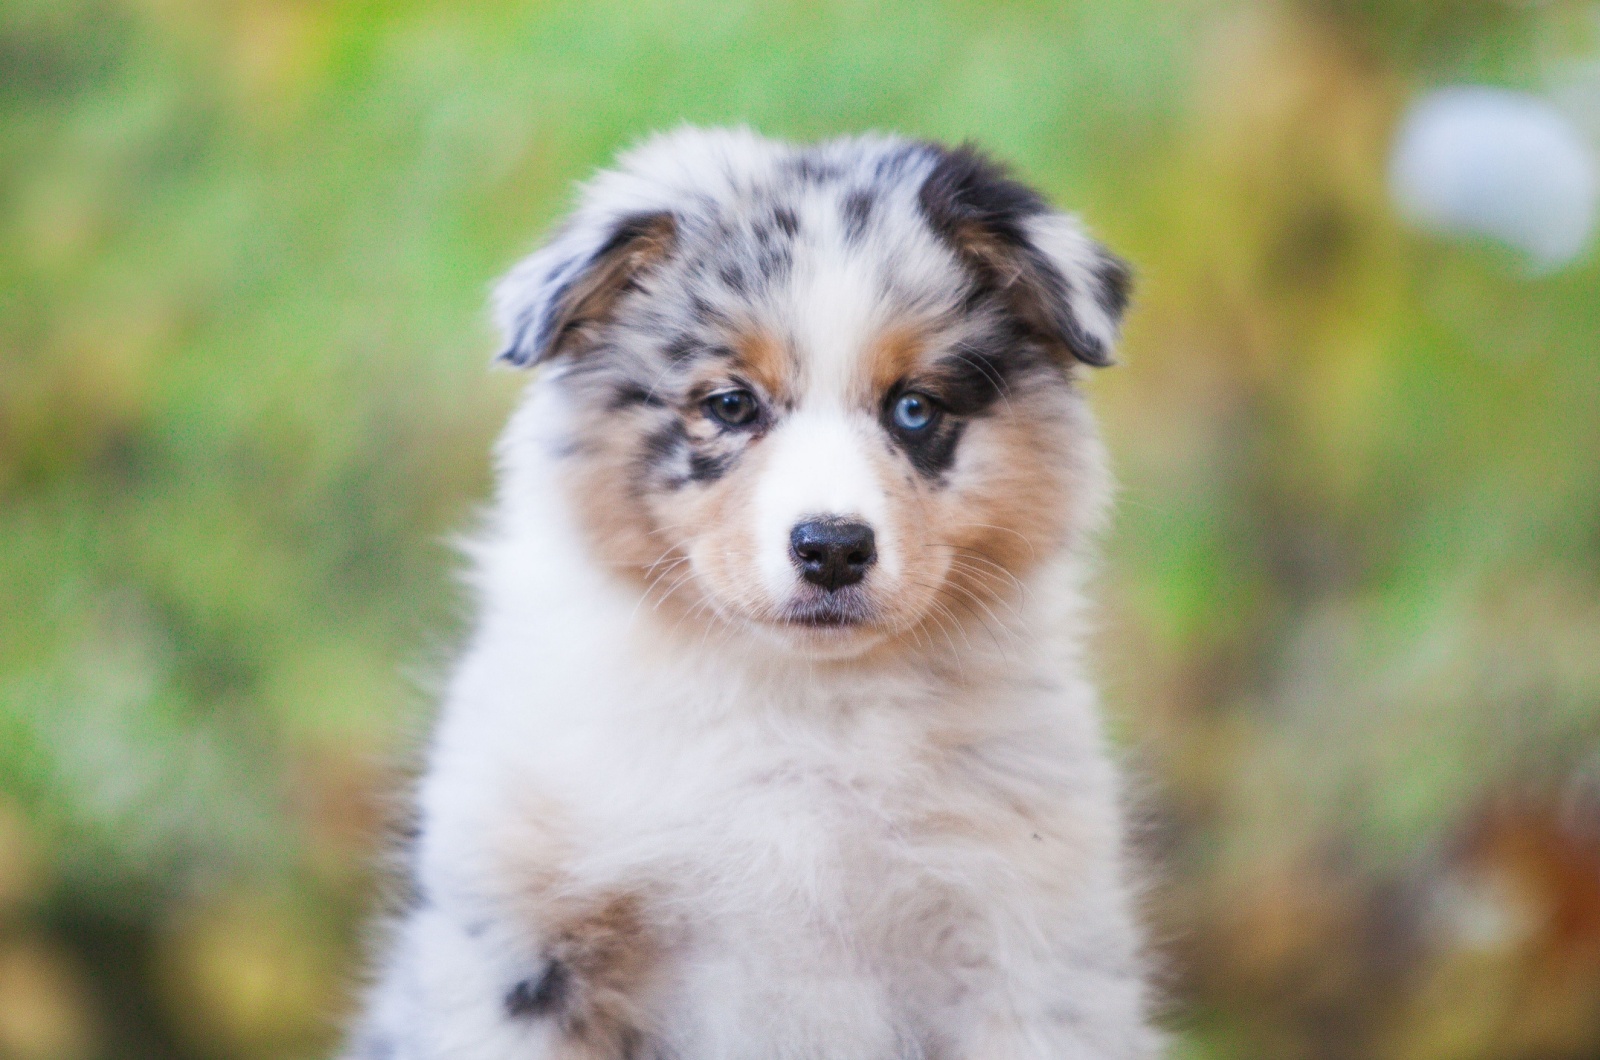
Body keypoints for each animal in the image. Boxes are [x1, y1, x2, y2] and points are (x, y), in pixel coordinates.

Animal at [344, 130, 1158, 1060]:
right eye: (731, 404)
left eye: (915, 408)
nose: (833, 547)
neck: (798, 704)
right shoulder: (519, 944)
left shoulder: (1027, 941)